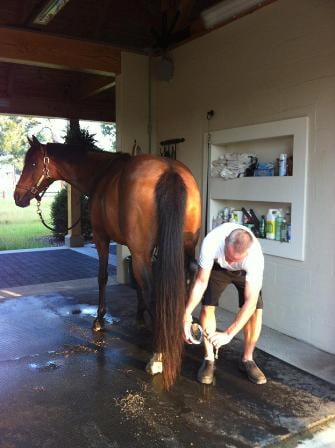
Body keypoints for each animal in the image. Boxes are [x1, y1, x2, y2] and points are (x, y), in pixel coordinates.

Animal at [13, 136, 202, 388]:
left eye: (33, 164)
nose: (17, 197)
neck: (100, 174)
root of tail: (169, 170)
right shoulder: (135, 249)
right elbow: (137, 285)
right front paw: (140, 318)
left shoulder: (102, 238)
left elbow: (102, 277)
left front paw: (99, 319)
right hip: (185, 249)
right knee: (186, 283)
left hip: (145, 253)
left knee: (153, 291)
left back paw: (158, 355)